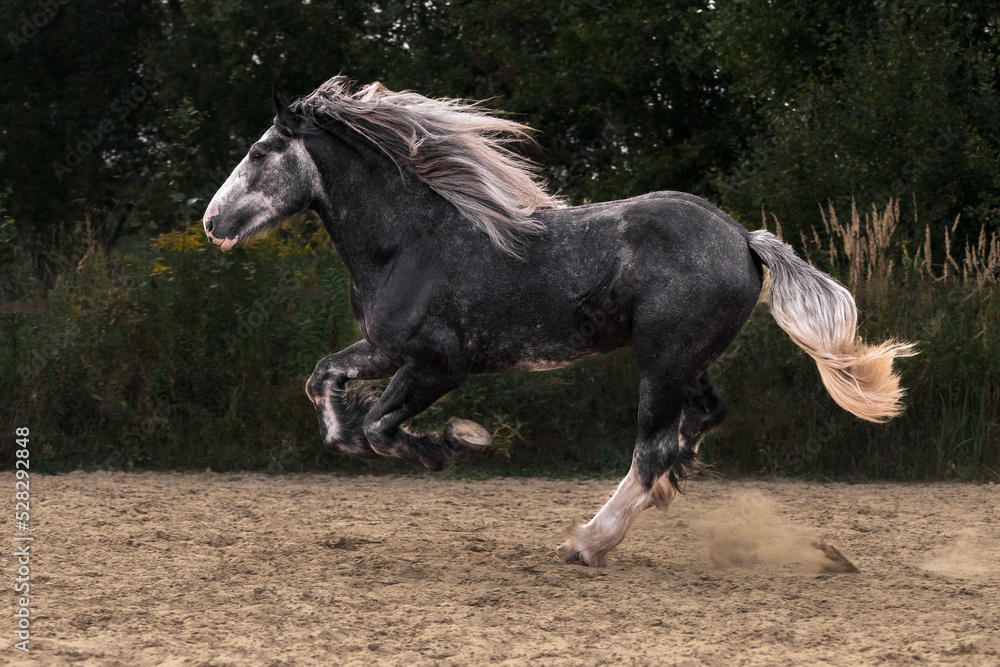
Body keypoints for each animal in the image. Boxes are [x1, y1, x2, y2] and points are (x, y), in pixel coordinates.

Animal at [203, 76, 914, 567]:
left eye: (261, 150)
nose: (212, 224)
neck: (407, 242)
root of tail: (744, 238)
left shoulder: (440, 364)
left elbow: (381, 429)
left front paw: (456, 442)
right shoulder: (386, 349)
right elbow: (327, 387)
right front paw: (362, 429)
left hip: (663, 359)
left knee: (652, 447)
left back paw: (588, 541)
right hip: (688, 359)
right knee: (698, 424)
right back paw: (646, 505)